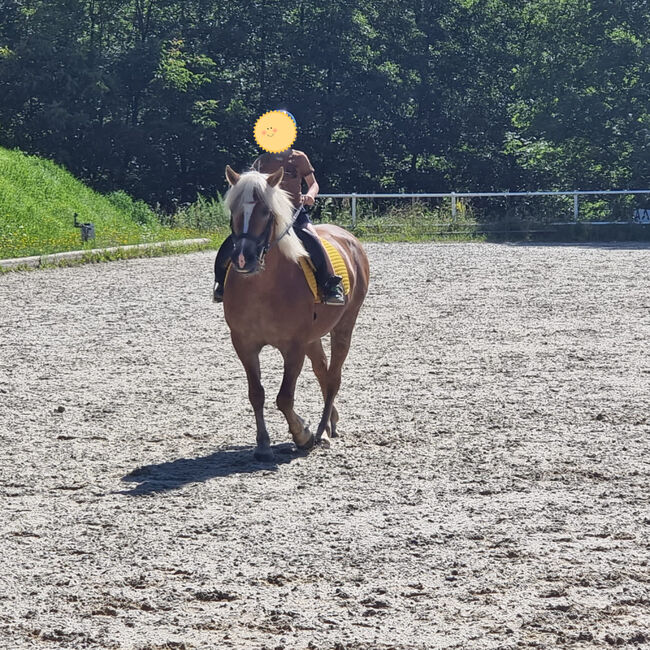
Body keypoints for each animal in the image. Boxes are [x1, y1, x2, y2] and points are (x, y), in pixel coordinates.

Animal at [219, 165, 368, 464]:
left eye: (266, 212)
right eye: (234, 210)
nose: (243, 259)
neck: (262, 287)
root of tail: (349, 239)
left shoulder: (294, 346)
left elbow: (284, 397)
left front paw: (303, 434)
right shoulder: (244, 344)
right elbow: (257, 393)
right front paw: (263, 445)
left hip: (344, 325)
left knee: (333, 377)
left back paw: (322, 431)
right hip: (314, 337)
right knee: (323, 371)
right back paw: (330, 423)